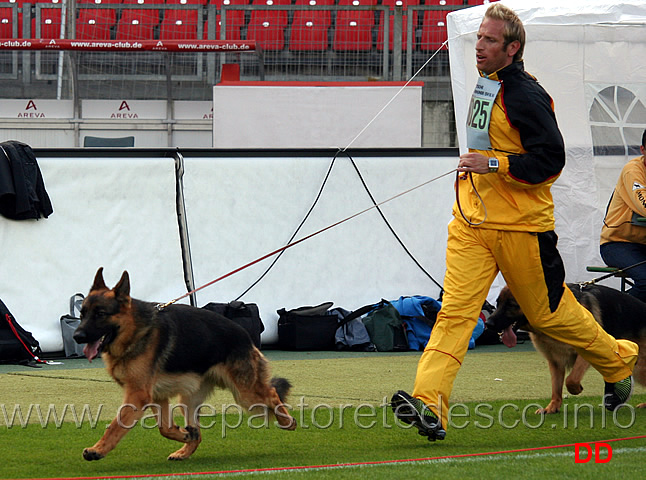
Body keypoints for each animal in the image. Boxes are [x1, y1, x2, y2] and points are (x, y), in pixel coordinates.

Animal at [74, 270, 298, 462]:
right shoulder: (156, 396)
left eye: (100, 314)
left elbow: (115, 425)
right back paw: (185, 447)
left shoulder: (137, 395)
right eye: (82, 314)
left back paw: (288, 422)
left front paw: (97, 450)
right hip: (188, 401)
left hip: (246, 394)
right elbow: (164, 428)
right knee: (198, 433)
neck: (136, 330)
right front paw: (183, 434)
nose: (77, 336)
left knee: (272, 394)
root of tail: (246, 337)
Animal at [492, 284, 646, 414]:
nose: (489, 324)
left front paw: (576, 389)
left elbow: (571, 379)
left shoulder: (588, 352)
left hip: (640, 368)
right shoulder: (554, 361)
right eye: (497, 304)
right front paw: (552, 407)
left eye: (511, 305)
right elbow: (556, 386)